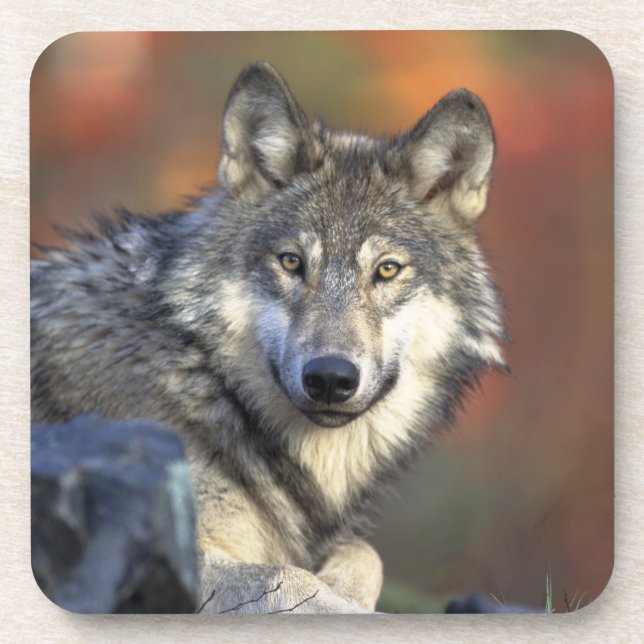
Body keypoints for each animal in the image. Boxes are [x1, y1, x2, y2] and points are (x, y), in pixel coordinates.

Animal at [31, 61, 505, 614]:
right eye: (291, 262)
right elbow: (288, 578)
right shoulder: (167, 550)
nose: (330, 378)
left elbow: (364, 552)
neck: (206, 380)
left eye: (387, 269)